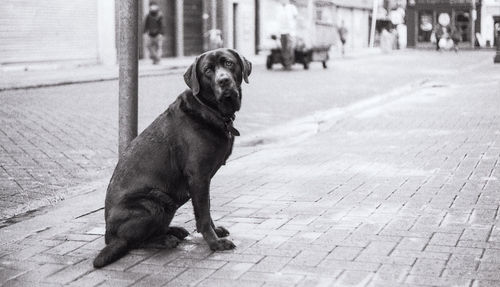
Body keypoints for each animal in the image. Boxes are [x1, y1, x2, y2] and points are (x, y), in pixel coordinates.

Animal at [92, 48, 252, 268]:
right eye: (208, 70)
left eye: (228, 63)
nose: (224, 81)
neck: (209, 109)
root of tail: (109, 236)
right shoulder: (198, 177)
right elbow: (203, 215)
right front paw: (215, 243)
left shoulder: (202, 182)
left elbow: (206, 211)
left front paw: (216, 232)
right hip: (154, 202)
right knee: (132, 242)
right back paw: (165, 240)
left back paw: (174, 230)